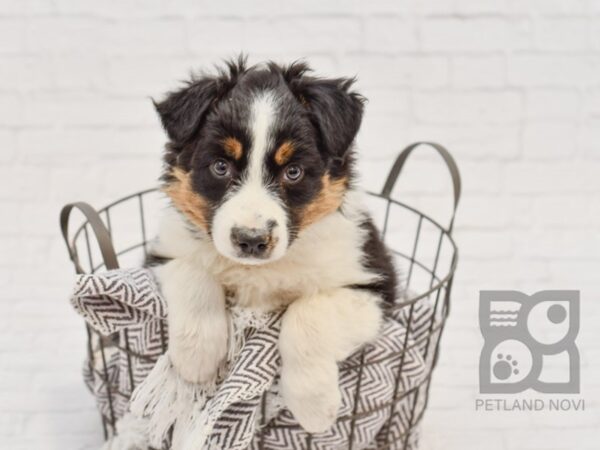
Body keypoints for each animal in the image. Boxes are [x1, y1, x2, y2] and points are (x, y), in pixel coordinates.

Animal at [148, 57, 396, 432]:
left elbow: (306, 313)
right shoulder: (163, 251)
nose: (251, 240)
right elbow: (193, 273)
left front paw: (314, 405)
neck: (259, 271)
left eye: (292, 172)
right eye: (220, 166)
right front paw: (196, 357)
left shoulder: (373, 284)